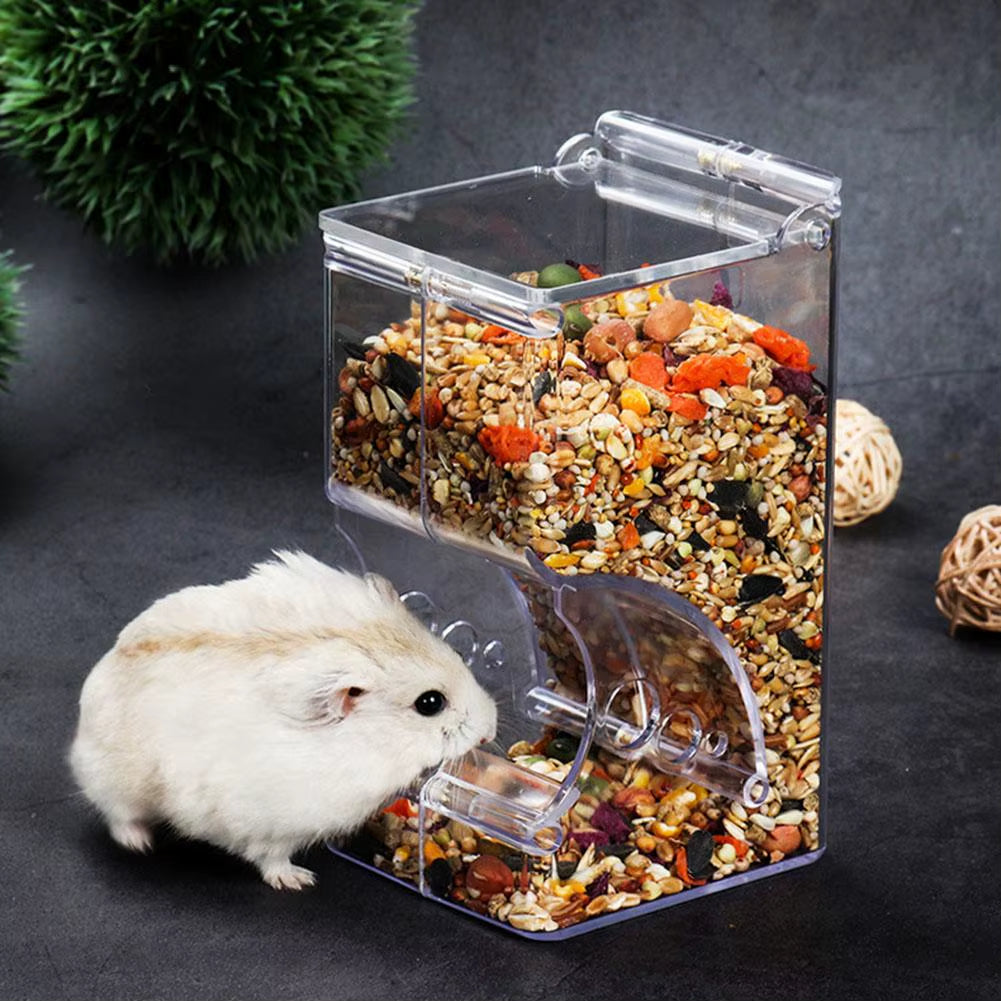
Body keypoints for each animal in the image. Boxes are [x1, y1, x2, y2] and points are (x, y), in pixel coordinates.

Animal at [69, 551, 497, 890]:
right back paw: (138, 843)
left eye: (459, 656)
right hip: (115, 781)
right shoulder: (270, 823)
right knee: (116, 813)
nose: (490, 729)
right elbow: (270, 857)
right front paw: (299, 881)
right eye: (430, 703)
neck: (372, 745)